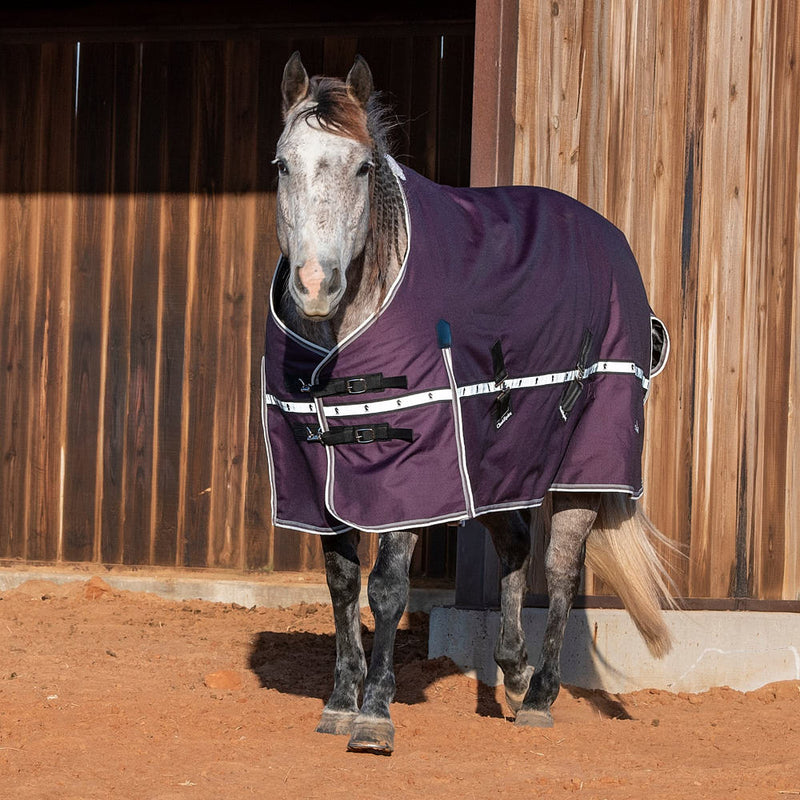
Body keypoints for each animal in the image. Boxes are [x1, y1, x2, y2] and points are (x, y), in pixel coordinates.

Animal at [261, 52, 676, 755]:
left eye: (363, 167)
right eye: (284, 164)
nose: (316, 286)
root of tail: (610, 239)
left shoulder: (411, 470)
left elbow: (388, 587)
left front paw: (374, 715)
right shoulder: (321, 475)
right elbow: (342, 583)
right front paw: (339, 703)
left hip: (582, 468)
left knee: (560, 570)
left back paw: (538, 697)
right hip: (497, 467)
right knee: (515, 545)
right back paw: (513, 673)